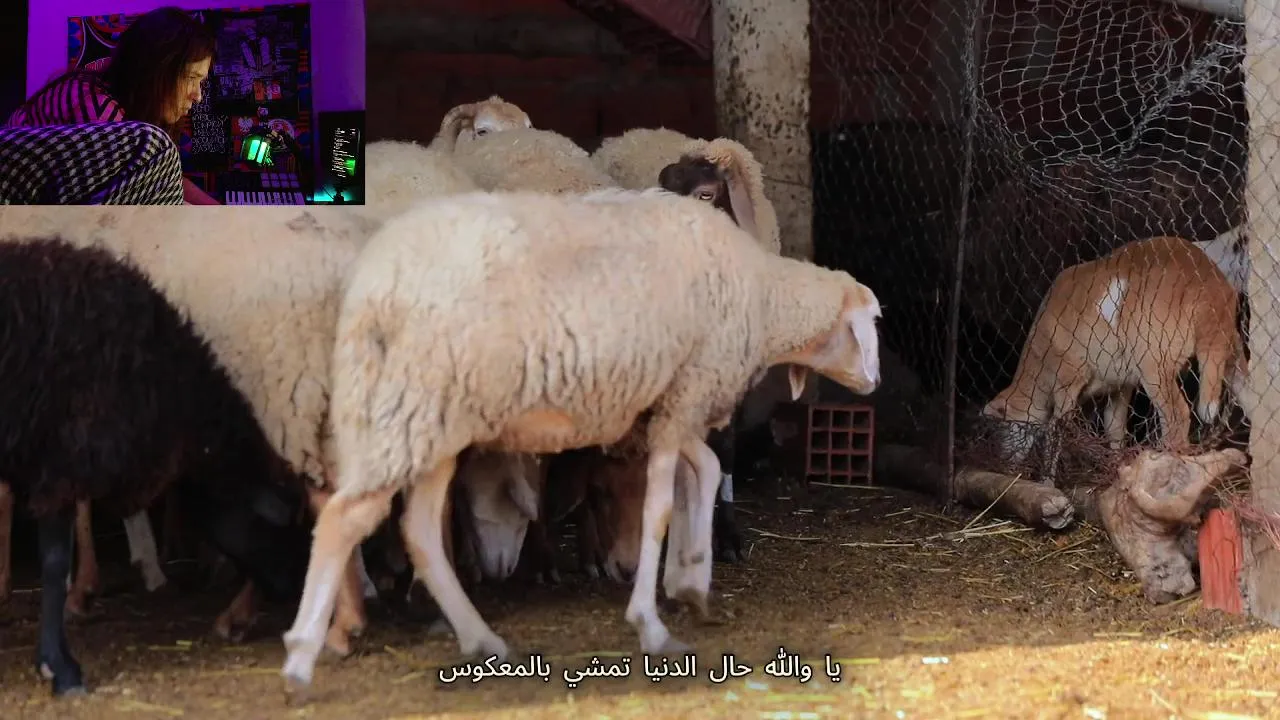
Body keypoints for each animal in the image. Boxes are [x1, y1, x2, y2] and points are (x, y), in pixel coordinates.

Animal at [279, 187, 882, 692]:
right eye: (871, 324)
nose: (875, 384)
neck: (761, 296)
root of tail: (371, 285)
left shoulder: (665, 403)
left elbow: (705, 471)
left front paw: (690, 579)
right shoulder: (687, 392)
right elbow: (660, 507)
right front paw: (651, 621)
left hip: (429, 420)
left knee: (419, 529)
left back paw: (481, 638)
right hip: (410, 405)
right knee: (343, 519)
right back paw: (301, 654)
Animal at [982, 235, 1246, 478]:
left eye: (1001, 427)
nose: (1003, 465)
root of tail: (1209, 291)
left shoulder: (1068, 380)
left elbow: (1055, 431)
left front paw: (1047, 479)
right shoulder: (1119, 387)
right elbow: (1115, 429)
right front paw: (1116, 467)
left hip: (1154, 361)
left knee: (1177, 417)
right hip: (1229, 350)